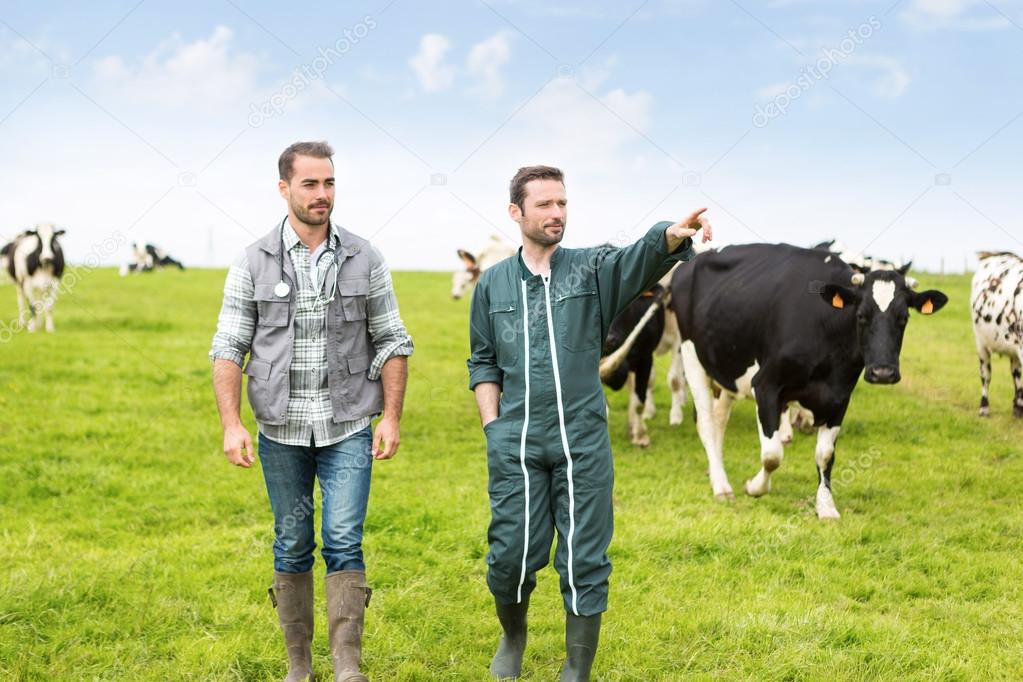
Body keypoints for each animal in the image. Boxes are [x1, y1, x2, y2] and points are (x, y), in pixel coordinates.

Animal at [671, 244, 949, 517]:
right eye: (861, 315)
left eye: (903, 318)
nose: (883, 372)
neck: (825, 330)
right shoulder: (765, 385)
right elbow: (772, 454)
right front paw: (754, 487)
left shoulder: (839, 395)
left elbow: (825, 455)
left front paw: (826, 506)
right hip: (692, 358)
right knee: (706, 424)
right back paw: (721, 486)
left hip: (727, 371)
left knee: (719, 421)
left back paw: (716, 472)